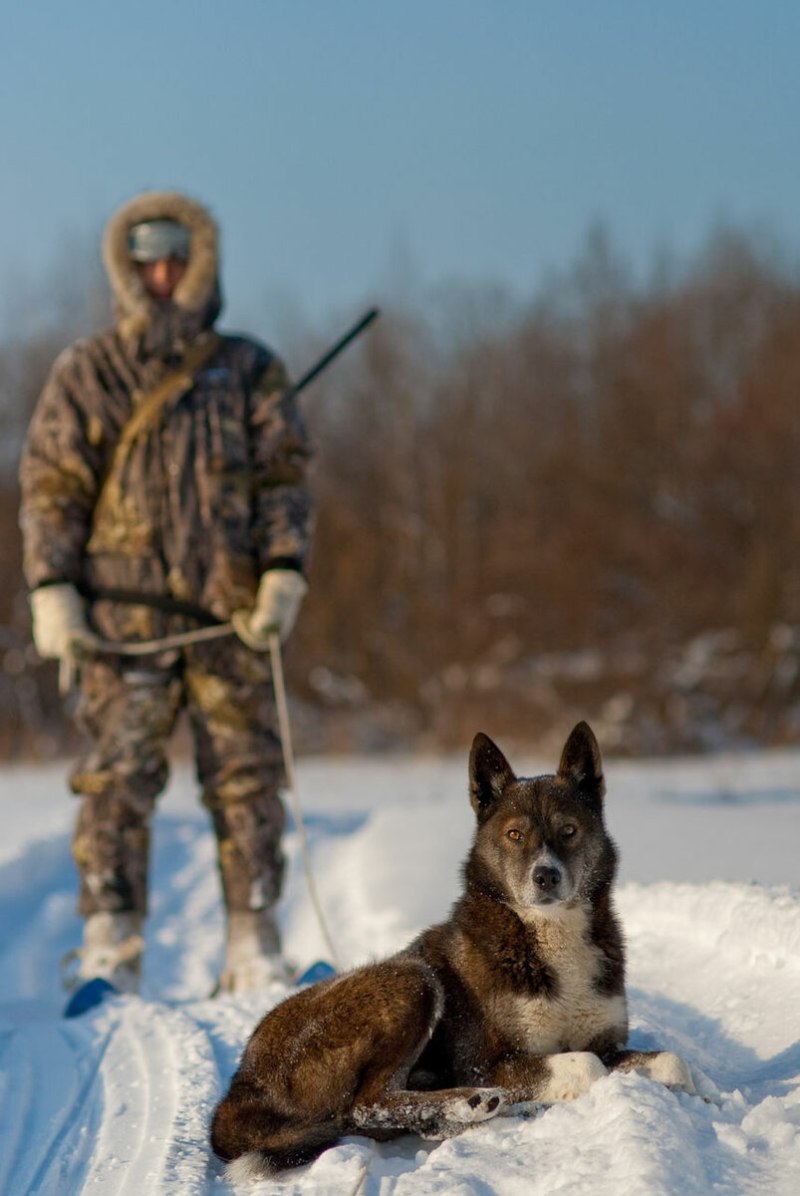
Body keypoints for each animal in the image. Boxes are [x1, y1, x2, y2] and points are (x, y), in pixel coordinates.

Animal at [211, 717, 693, 1176]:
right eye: (515, 835)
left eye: (569, 830)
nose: (546, 876)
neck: (547, 935)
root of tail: (239, 1088)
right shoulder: (487, 1062)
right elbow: (587, 1063)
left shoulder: (607, 1040)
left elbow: (672, 1062)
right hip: (411, 981)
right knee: (364, 1106)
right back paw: (473, 1103)